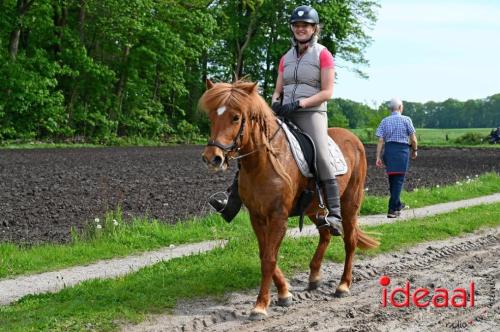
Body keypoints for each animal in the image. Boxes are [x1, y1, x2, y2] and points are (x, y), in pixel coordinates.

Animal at [199, 80, 378, 320]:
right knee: (325, 236)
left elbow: (269, 259)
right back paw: (314, 277)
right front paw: (284, 293)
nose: (212, 158)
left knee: (350, 242)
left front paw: (260, 306)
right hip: (314, 210)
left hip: (350, 205)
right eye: (211, 116)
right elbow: (264, 254)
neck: (263, 162)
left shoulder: (278, 217)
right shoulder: (257, 216)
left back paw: (343, 286)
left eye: (236, 117)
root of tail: (355, 139)